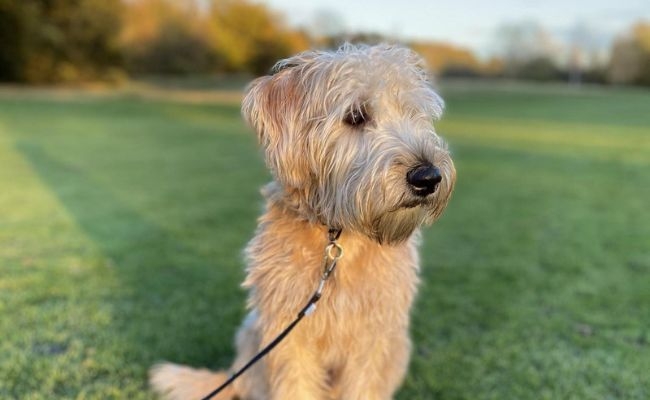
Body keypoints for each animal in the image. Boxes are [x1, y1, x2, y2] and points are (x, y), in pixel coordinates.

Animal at [151, 43, 456, 400]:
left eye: (414, 114)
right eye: (356, 116)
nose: (428, 177)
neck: (338, 238)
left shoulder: (373, 337)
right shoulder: (288, 334)